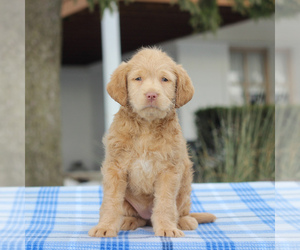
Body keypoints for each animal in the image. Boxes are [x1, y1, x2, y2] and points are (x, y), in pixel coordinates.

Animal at [88, 47, 216, 238]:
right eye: (138, 78)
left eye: (164, 79)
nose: (151, 94)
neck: (146, 127)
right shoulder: (115, 168)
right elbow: (111, 202)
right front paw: (105, 226)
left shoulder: (169, 171)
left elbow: (165, 203)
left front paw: (167, 227)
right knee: (137, 217)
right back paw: (128, 221)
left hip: (185, 187)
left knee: (181, 211)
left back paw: (184, 221)